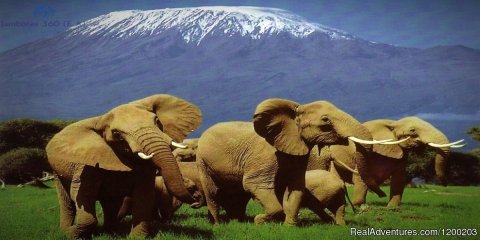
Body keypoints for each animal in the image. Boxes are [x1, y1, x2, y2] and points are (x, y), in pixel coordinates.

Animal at [44, 94, 201, 239]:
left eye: (157, 121)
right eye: (117, 134)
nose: (196, 196)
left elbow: (144, 194)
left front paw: (136, 237)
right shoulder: (87, 164)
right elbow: (82, 195)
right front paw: (73, 234)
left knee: (110, 203)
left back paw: (110, 231)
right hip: (56, 172)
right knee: (67, 201)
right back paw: (66, 231)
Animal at [197, 98, 388, 226]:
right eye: (325, 120)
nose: (382, 195)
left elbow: (296, 186)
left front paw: (288, 226)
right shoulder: (265, 156)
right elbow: (254, 184)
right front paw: (260, 221)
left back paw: (238, 220)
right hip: (202, 162)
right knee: (212, 192)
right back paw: (218, 224)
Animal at [310, 116, 464, 206]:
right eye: (413, 130)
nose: (445, 183)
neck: (393, 124)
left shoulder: (401, 154)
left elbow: (399, 178)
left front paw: (392, 208)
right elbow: (360, 176)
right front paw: (361, 206)